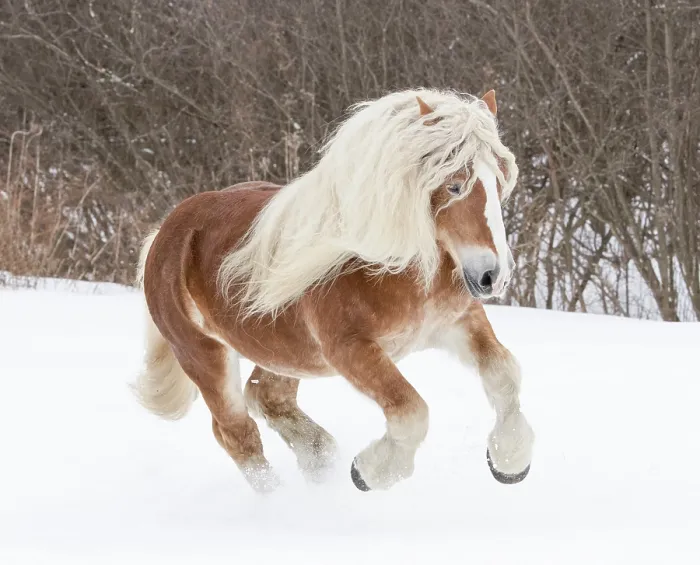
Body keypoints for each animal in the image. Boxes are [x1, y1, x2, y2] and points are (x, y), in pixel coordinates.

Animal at [132, 88, 535, 493]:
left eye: (500, 182)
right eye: (454, 185)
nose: (493, 275)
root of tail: (164, 233)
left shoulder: (459, 321)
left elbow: (504, 374)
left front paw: (509, 462)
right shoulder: (349, 349)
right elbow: (410, 411)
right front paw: (369, 472)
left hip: (286, 354)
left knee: (267, 397)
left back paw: (320, 463)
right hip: (205, 356)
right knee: (237, 433)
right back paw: (281, 499)